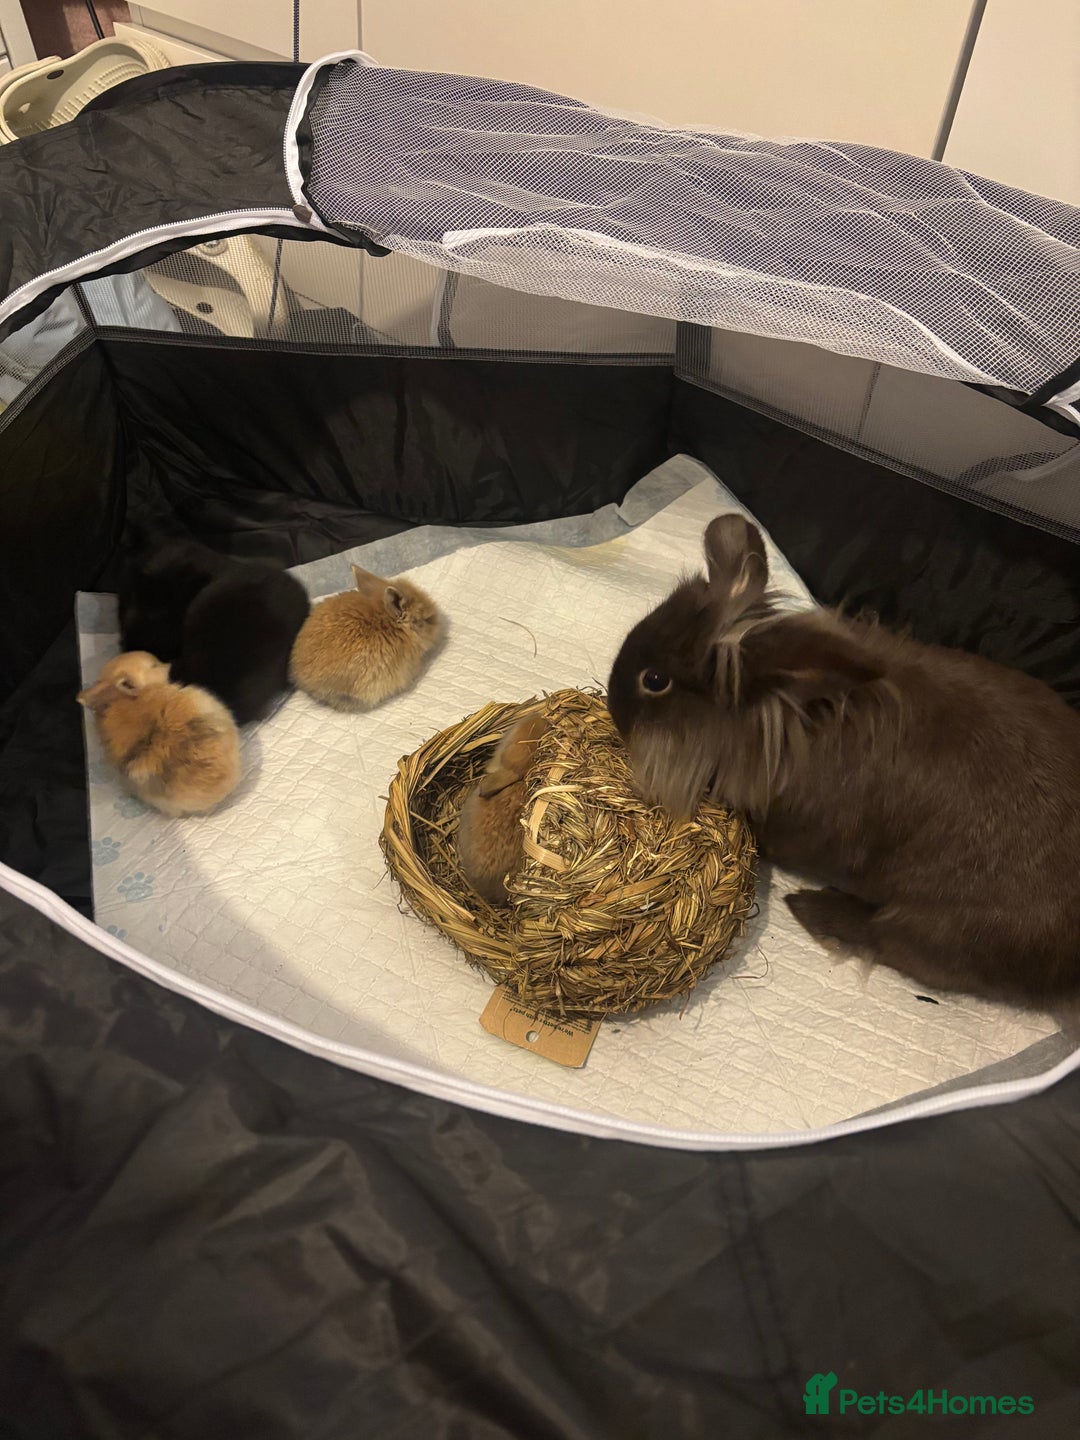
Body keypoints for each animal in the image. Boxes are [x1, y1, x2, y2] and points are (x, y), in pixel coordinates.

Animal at [606, 512, 1080, 1008]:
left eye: (654, 680)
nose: (613, 709)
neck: (784, 725)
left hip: (935, 928)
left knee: (884, 937)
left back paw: (812, 908)